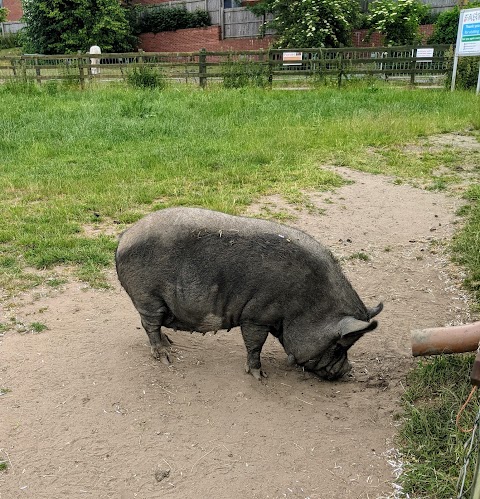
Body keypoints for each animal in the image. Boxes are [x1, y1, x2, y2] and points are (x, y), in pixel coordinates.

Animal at [115, 207, 382, 382]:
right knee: (149, 324)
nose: (347, 371)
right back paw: (166, 356)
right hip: (147, 296)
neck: (305, 303)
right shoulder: (257, 315)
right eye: (339, 346)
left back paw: (170, 343)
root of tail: (124, 237)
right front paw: (260, 377)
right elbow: (255, 344)